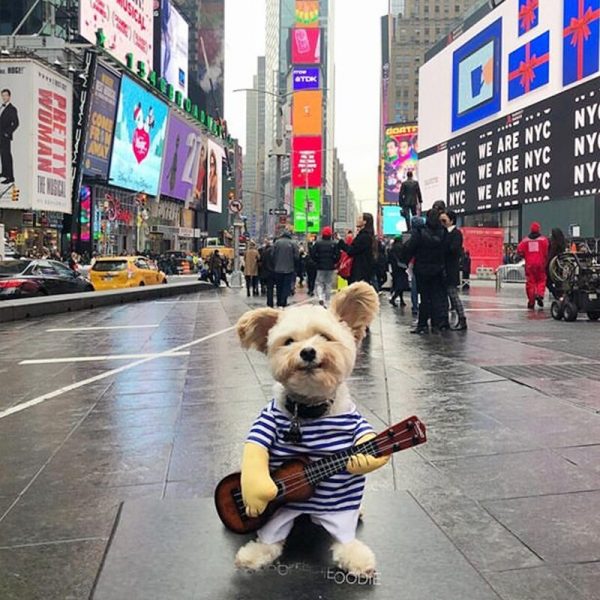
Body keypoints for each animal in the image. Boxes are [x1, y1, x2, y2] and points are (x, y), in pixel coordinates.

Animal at [232, 284, 386, 580]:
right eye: (289, 341)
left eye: (325, 336)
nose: (307, 352)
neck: (308, 409)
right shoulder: (266, 422)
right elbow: (256, 449)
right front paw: (256, 493)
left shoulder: (353, 423)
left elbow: (364, 440)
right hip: (279, 516)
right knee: (273, 535)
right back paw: (257, 552)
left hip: (338, 510)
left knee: (343, 530)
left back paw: (355, 553)